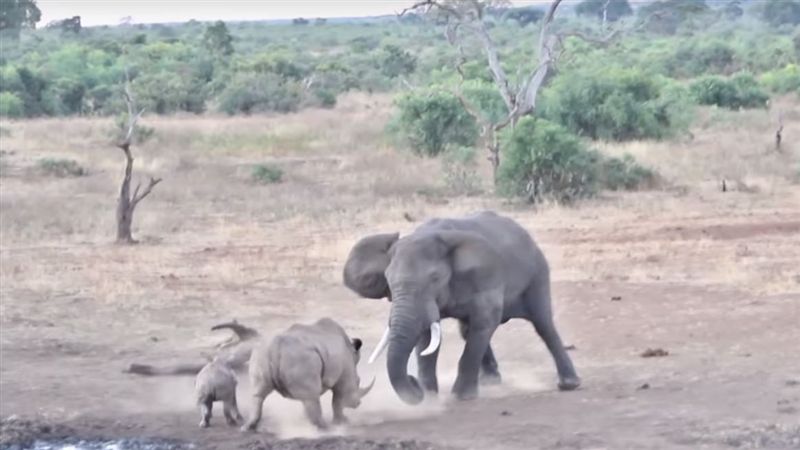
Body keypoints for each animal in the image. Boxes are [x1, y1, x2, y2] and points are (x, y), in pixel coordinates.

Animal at [241, 317, 375, 432]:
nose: (357, 404)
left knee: (258, 395)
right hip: (300, 358)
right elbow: (337, 400)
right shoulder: (344, 376)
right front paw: (342, 422)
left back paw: (247, 428)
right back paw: (326, 428)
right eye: (358, 381)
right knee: (312, 398)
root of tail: (275, 347)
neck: (351, 353)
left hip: (260, 355)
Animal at [342, 210, 580, 405]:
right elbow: (427, 338)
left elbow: (486, 321)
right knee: (467, 330)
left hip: (537, 272)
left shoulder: (486, 277)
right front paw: (430, 399)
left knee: (543, 324)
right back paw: (490, 382)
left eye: (435, 279)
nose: (413, 382)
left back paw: (569, 384)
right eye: (388, 281)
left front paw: (461, 397)